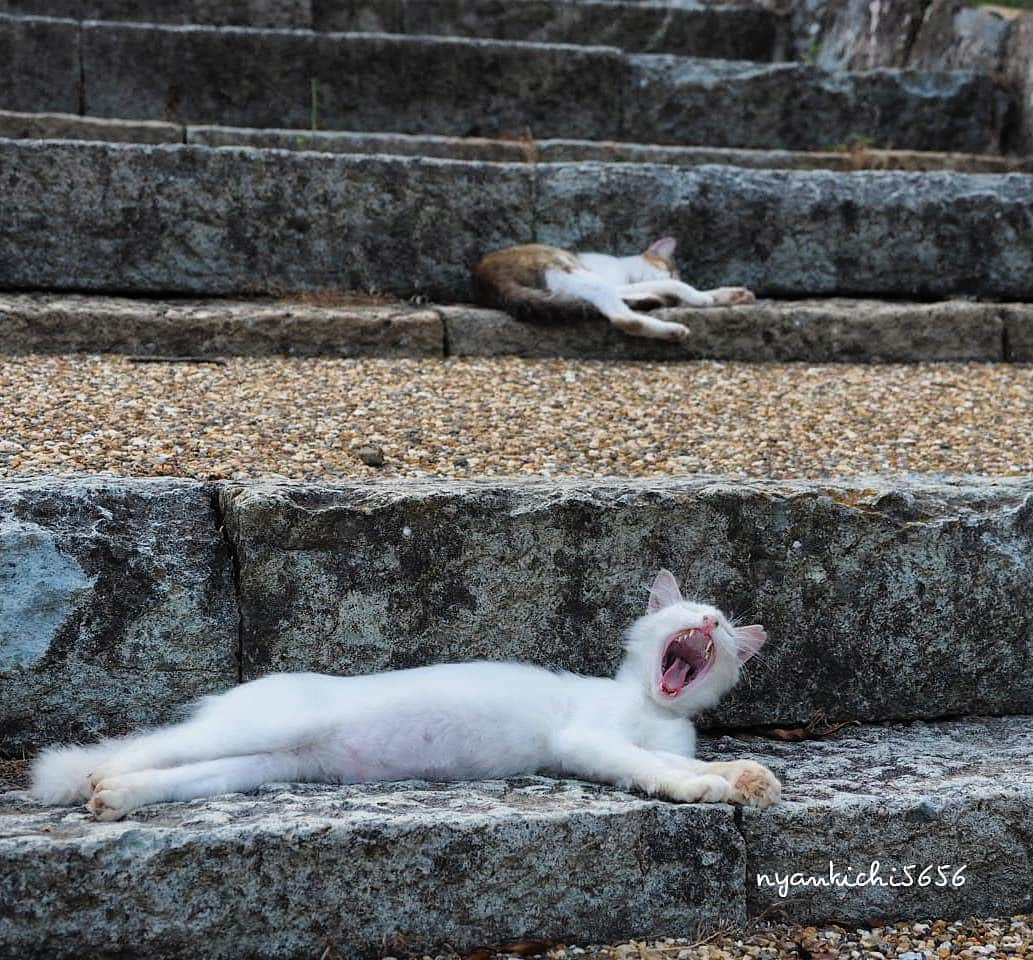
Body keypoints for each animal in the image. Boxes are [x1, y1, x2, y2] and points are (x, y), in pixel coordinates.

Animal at [28, 570, 776, 818]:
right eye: (693, 615)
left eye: (721, 625)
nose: (711, 623)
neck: (652, 703)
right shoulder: (586, 738)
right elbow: (652, 764)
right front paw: (704, 787)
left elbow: (679, 757)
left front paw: (744, 777)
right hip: (255, 729)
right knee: (145, 745)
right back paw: (90, 778)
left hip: (261, 764)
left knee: (177, 772)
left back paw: (117, 799)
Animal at [473, 235, 756, 341]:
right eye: (671, 268)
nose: (673, 271)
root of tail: (486, 276)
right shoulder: (613, 279)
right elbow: (674, 285)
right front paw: (699, 297)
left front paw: (730, 294)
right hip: (569, 271)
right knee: (622, 319)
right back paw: (671, 329)